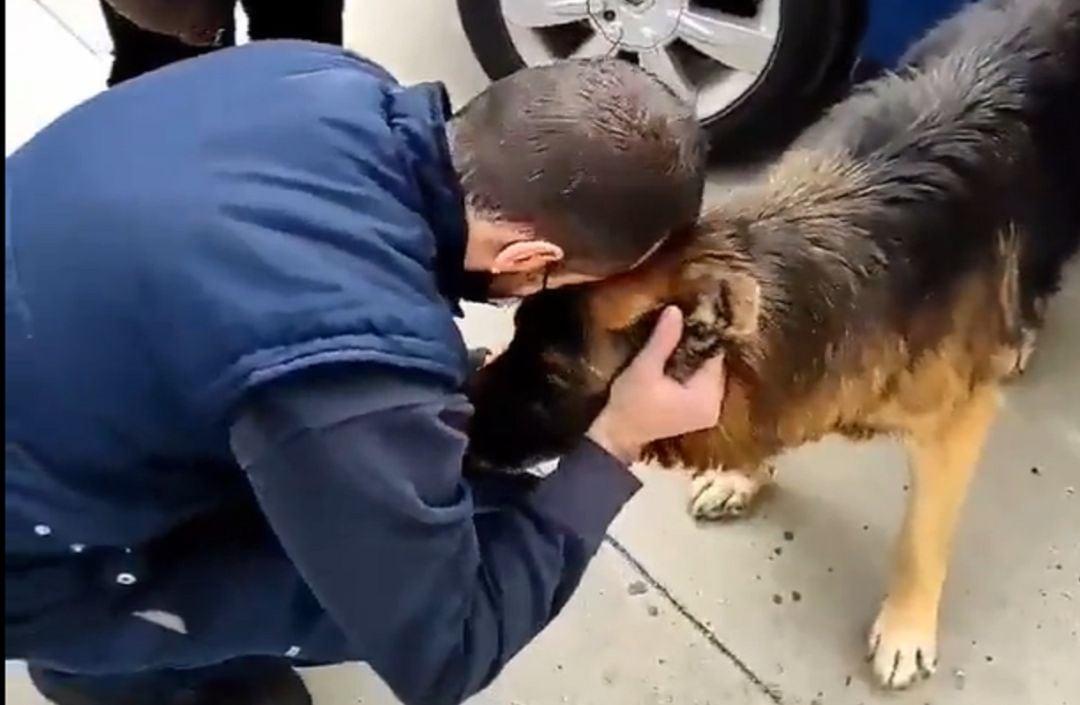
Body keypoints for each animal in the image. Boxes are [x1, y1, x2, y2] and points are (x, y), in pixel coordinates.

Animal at [468, 0, 1080, 690]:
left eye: (552, 373)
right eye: (516, 331)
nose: (457, 424)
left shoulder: (955, 424)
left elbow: (919, 537)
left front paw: (905, 627)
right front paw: (744, 474)